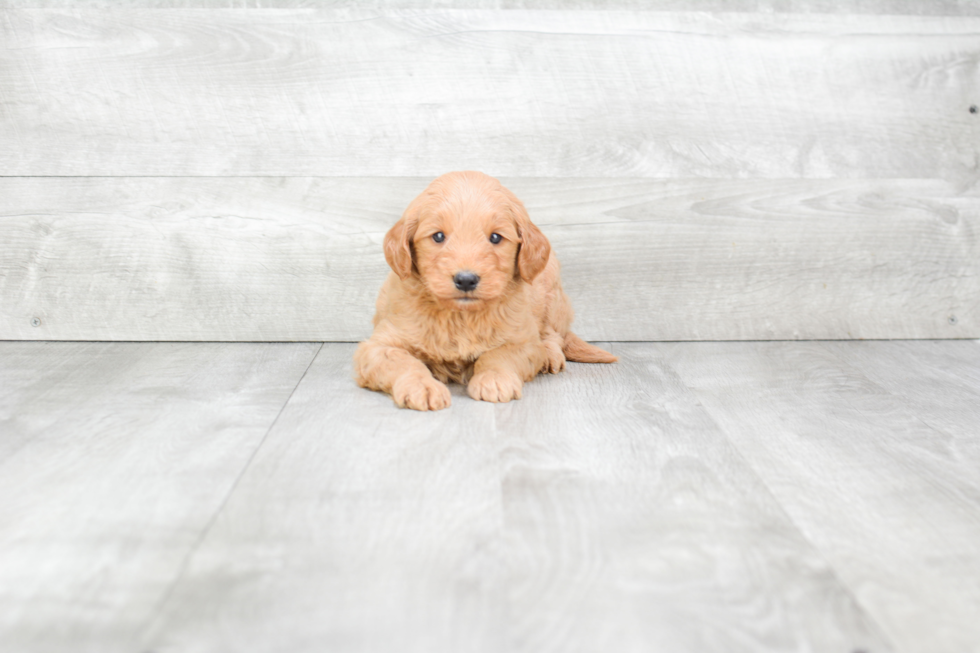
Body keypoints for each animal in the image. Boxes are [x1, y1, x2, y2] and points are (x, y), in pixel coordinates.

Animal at [356, 171, 616, 410]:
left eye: (495, 237)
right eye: (438, 236)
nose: (466, 280)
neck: (460, 317)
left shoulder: (523, 340)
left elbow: (498, 355)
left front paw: (494, 379)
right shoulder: (378, 344)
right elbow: (402, 361)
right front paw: (422, 387)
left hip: (551, 292)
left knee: (553, 334)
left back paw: (550, 356)